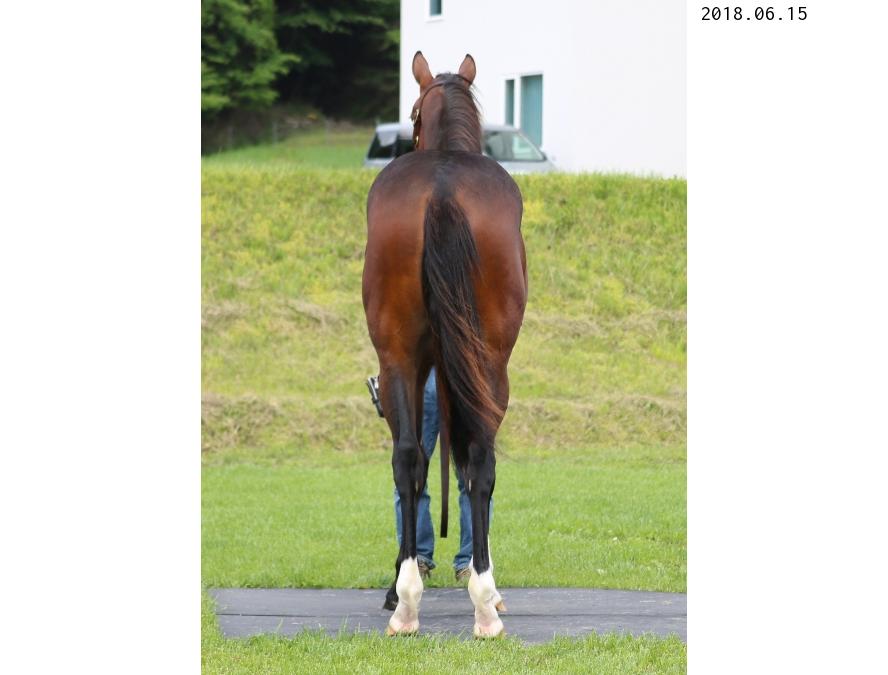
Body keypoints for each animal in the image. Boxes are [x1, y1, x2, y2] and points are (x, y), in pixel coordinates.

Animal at [362, 51, 527, 638]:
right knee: (480, 458)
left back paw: (408, 603)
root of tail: (441, 190)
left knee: (409, 456)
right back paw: (483, 603)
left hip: (399, 358)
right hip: (491, 364)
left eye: (411, 114)